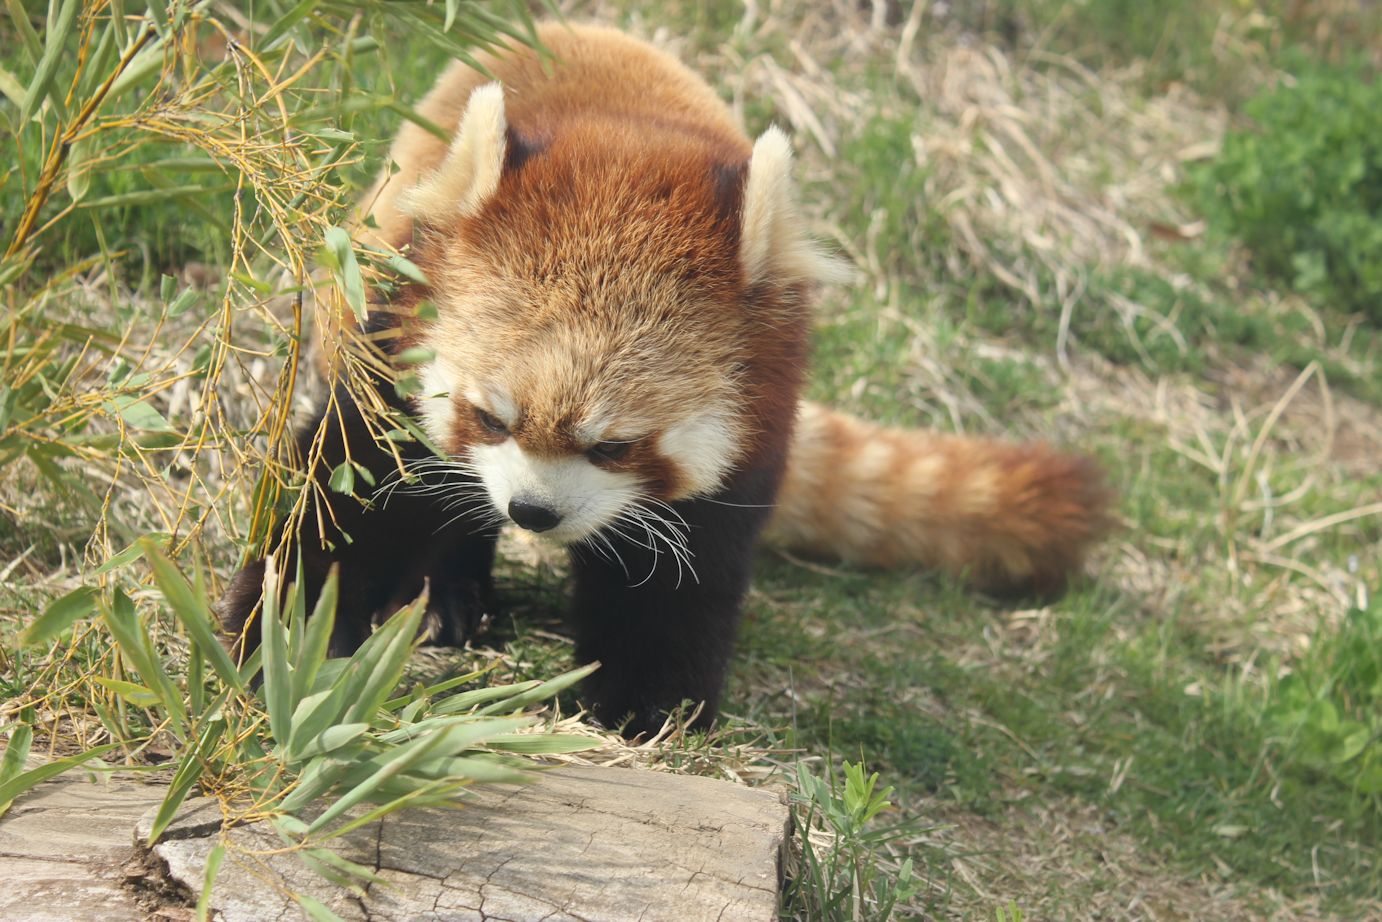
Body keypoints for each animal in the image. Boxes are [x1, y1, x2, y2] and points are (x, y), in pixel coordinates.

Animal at [223, 23, 1111, 735]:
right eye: (492, 418)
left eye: (614, 447)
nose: (533, 512)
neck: (625, 141)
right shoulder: (392, 347)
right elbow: (348, 498)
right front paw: (275, 642)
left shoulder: (752, 428)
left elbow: (678, 582)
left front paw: (645, 709)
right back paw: (450, 593)